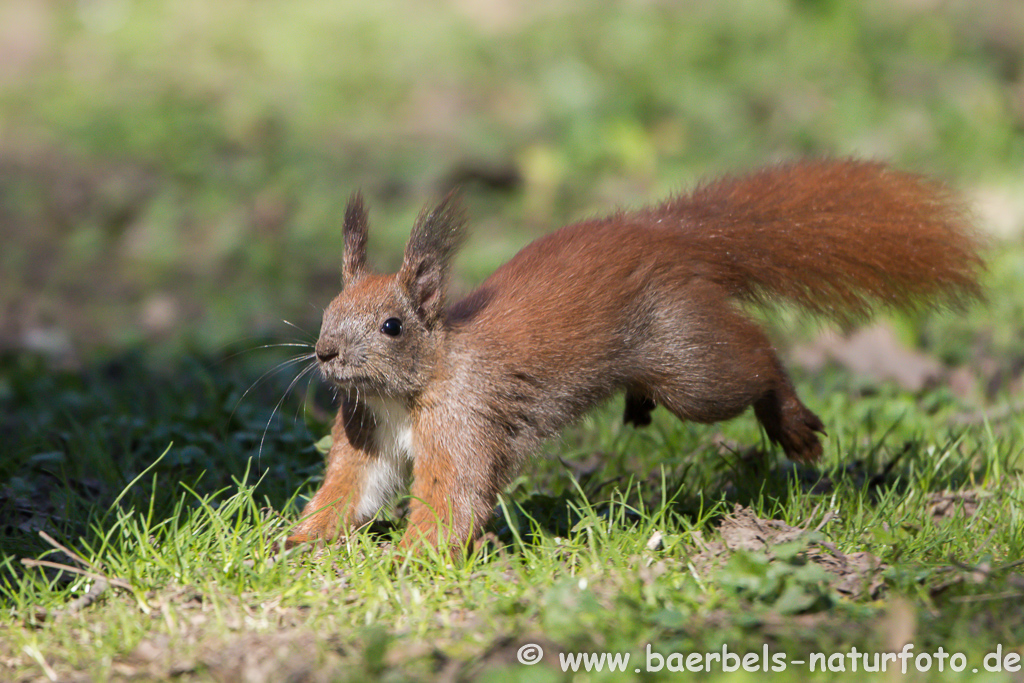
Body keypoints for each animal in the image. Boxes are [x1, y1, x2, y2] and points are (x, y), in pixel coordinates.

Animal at [286, 158, 983, 548]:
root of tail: (671, 235)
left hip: (688, 361)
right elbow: (351, 489)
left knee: (755, 359)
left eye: (392, 326)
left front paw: (410, 559)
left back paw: (789, 419)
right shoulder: (367, 430)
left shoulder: (464, 420)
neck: (411, 389)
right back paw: (642, 404)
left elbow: (450, 498)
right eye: (327, 309)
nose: (324, 353)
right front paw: (298, 539)